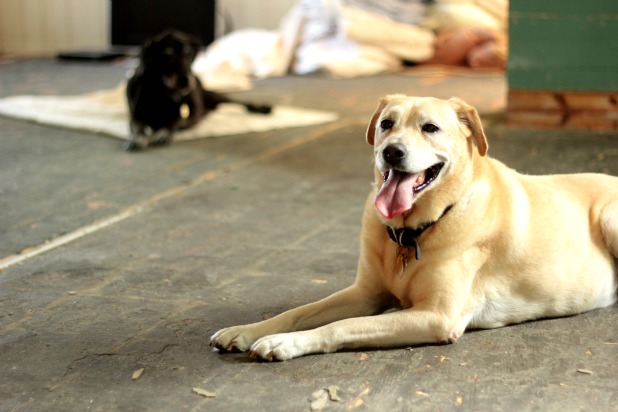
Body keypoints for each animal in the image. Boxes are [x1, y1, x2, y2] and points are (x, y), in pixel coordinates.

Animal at [124, 29, 270, 151]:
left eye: (188, 53)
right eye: (167, 53)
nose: (188, 81)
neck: (162, 92)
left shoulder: (182, 117)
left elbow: (172, 124)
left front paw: (162, 133)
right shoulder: (135, 117)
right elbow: (138, 129)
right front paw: (138, 139)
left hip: (214, 96)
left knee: (240, 102)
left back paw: (262, 108)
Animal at [209, 95, 612, 358]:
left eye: (430, 128)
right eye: (386, 124)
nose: (392, 152)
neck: (413, 230)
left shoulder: (436, 317)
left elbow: (344, 326)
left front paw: (285, 343)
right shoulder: (366, 293)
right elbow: (297, 313)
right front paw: (246, 331)